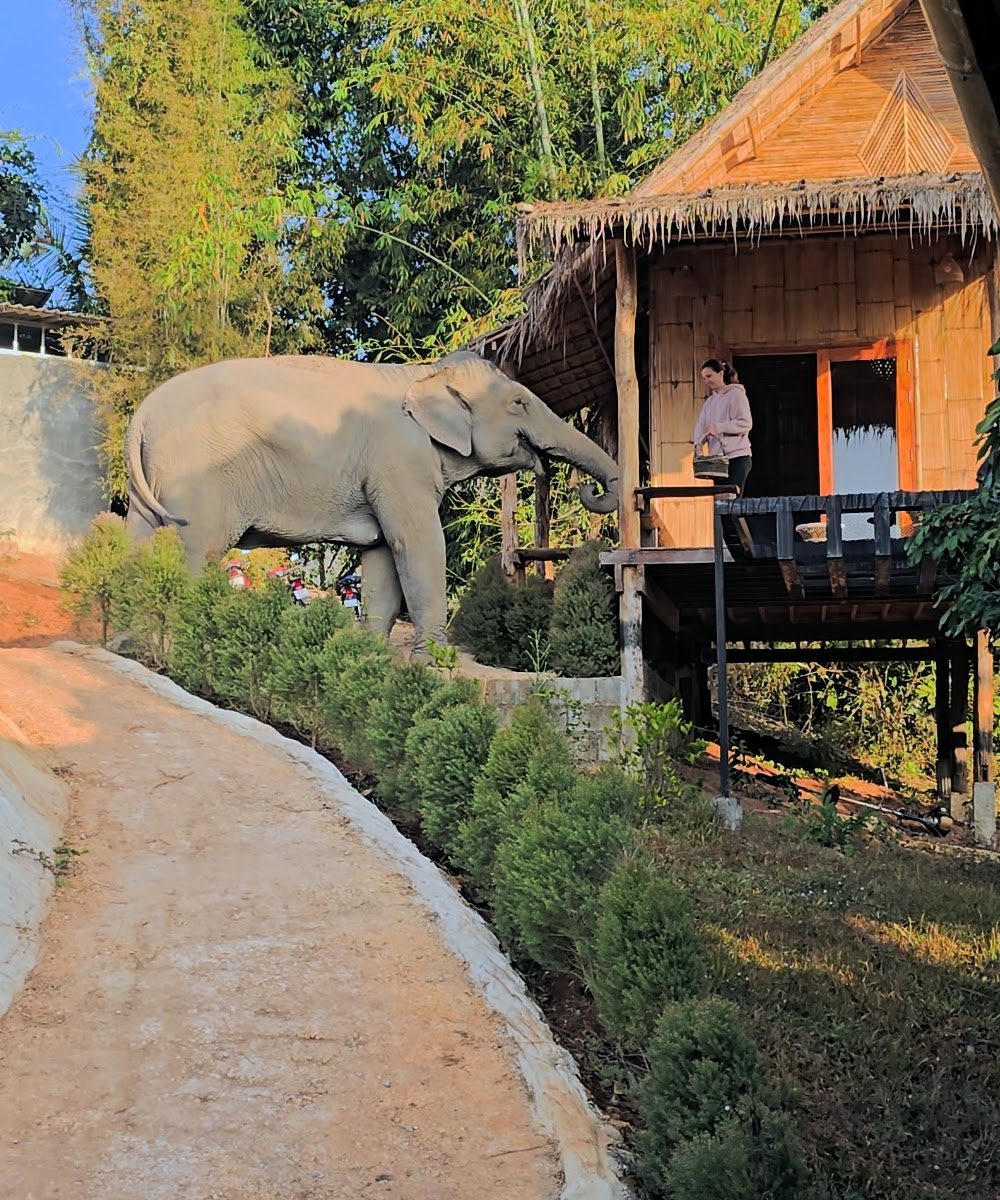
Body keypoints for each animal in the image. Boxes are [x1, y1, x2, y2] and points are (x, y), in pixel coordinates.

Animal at [124, 350, 620, 654]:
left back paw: (128, 642)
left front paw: (368, 657)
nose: (589, 489)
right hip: (198, 480)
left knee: (138, 540)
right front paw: (432, 667)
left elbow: (382, 557)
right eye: (519, 402)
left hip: (148, 482)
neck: (421, 374)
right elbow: (417, 544)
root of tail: (143, 412)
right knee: (193, 550)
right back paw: (175, 649)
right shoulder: (399, 461)